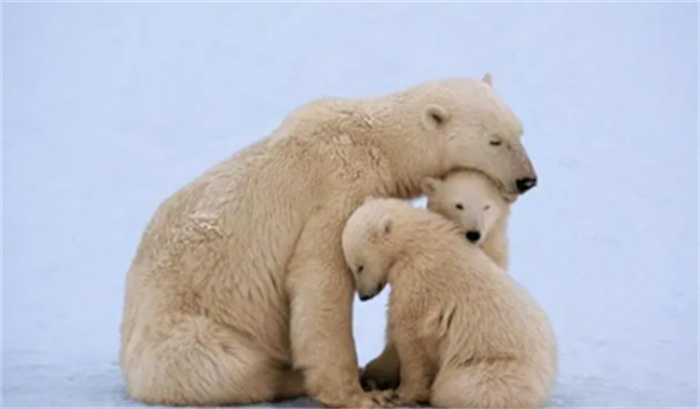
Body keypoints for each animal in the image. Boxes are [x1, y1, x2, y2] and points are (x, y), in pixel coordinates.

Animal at [342, 196, 556, 406]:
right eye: (351, 267)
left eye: (359, 266)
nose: (364, 296)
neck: (416, 241)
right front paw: (374, 376)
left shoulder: (421, 278)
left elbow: (408, 332)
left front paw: (401, 394)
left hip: (494, 368)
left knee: (461, 387)